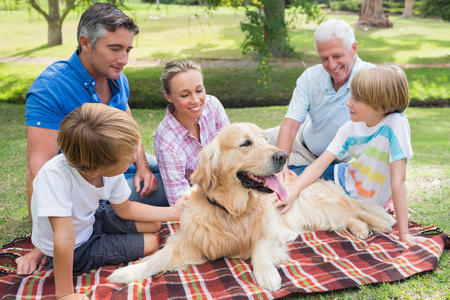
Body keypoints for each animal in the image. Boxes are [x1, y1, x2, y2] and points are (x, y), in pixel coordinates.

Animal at [108, 122, 394, 290]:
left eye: (265, 140)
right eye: (245, 143)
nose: (281, 156)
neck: (232, 209)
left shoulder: (273, 233)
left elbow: (259, 250)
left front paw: (267, 275)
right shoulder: (190, 240)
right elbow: (157, 258)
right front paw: (127, 272)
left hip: (321, 203)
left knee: (357, 207)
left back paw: (383, 222)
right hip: (321, 217)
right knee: (349, 217)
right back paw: (361, 229)